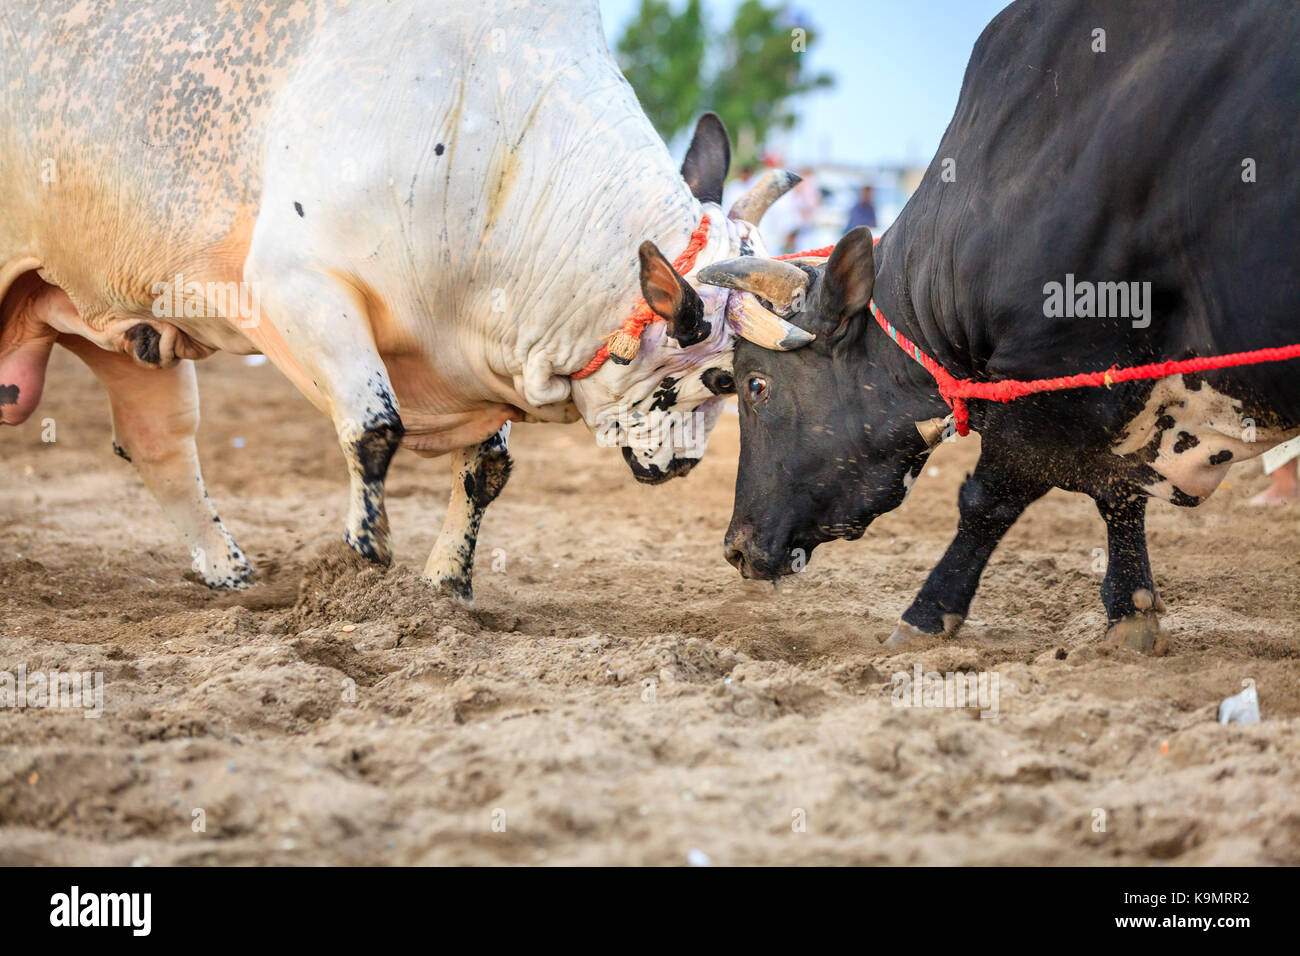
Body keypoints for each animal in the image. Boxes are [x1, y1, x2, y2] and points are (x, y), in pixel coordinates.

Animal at [0, 0, 800, 598]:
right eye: (722, 377)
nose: (685, 465)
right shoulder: (299, 287)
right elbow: (374, 427)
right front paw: (368, 546)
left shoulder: (480, 354)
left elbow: (485, 471)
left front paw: (447, 582)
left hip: (120, 330)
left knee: (158, 445)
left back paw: (228, 571)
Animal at [717, 0, 1294, 650]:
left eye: (756, 384)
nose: (736, 548)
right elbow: (1118, 495)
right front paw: (1131, 611)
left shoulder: (1050, 379)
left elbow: (988, 498)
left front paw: (926, 613)